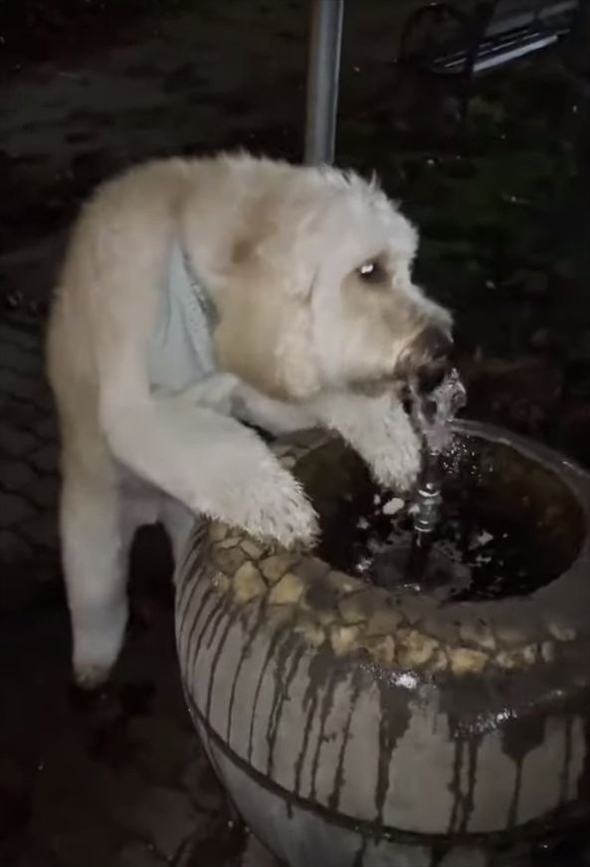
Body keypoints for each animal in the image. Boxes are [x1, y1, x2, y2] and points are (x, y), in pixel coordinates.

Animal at [47, 153, 454, 688]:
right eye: (370, 271)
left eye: (405, 269)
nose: (443, 348)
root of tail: (151, 508)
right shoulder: (141, 411)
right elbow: (222, 448)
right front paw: (281, 506)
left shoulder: (259, 384)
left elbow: (329, 396)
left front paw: (394, 444)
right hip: (93, 533)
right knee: (98, 601)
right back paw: (93, 663)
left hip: (185, 520)